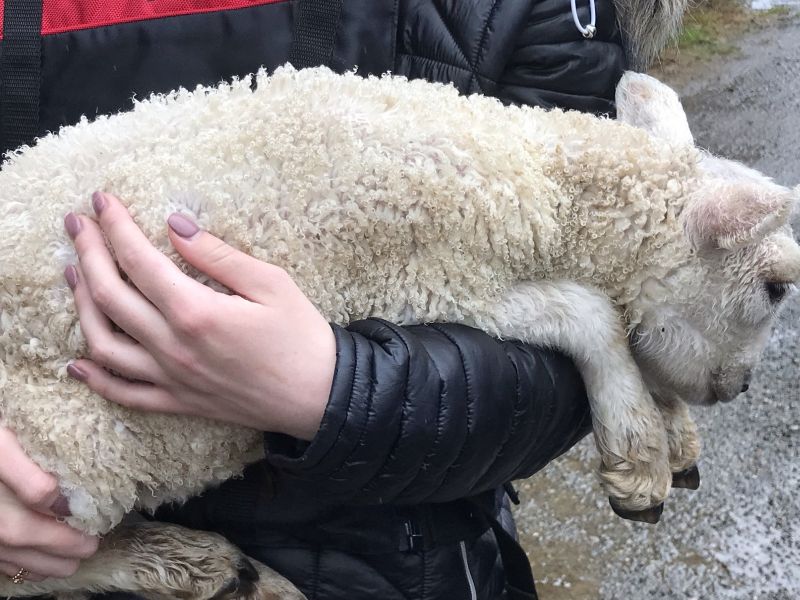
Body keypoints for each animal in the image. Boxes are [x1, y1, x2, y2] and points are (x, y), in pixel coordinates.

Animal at [0, 64, 796, 596]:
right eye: (775, 288)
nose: (742, 385)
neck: (537, 185)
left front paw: (672, 434)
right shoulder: (433, 279)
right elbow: (591, 313)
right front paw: (638, 453)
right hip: (75, 447)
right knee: (37, 567)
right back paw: (189, 564)